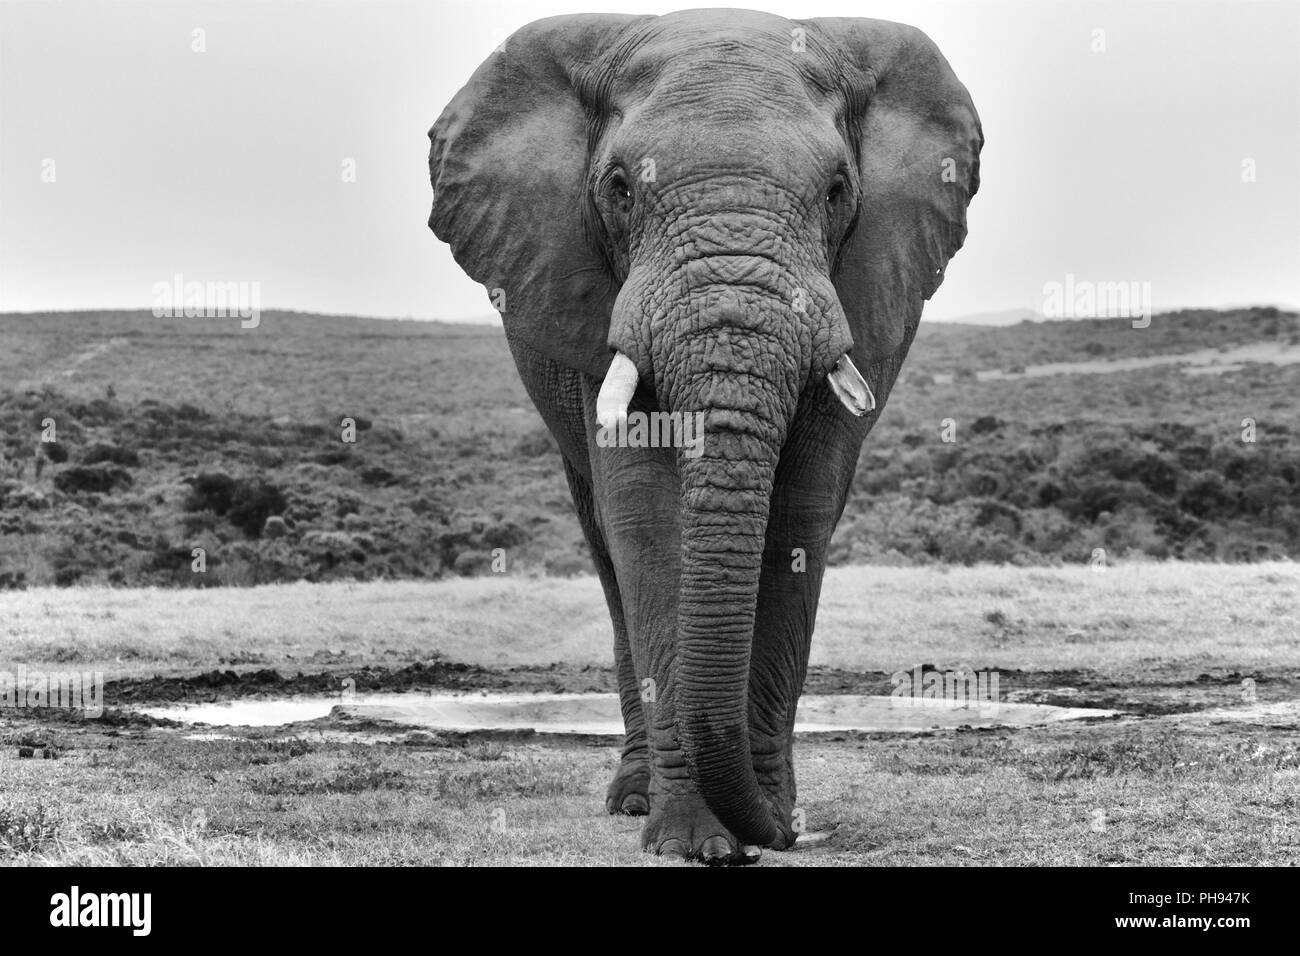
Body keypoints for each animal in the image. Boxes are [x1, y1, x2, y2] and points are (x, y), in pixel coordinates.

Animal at [431, 7, 977, 863]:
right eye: (620, 188)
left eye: (837, 191)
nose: (779, 835)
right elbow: (648, 524)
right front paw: (696, 841)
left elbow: (800, 515)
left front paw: (768, 819)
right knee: (605, 546)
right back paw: (632, 800)